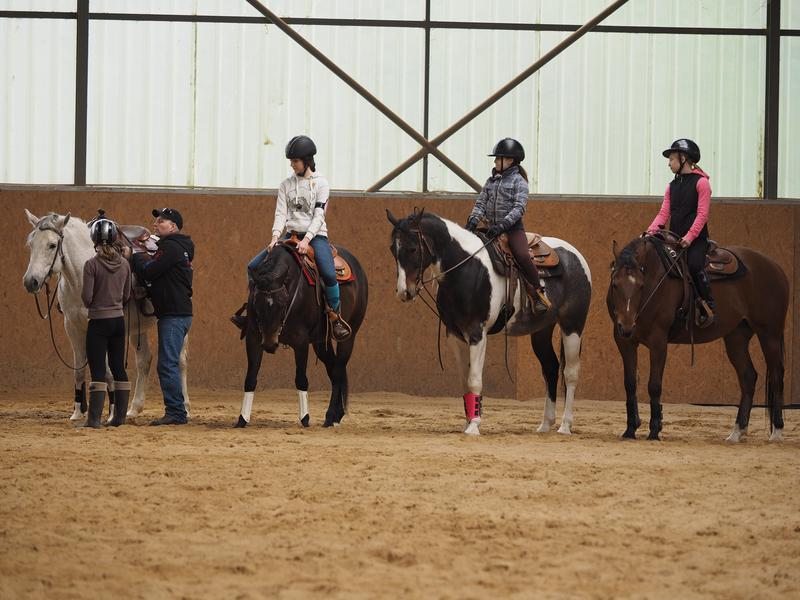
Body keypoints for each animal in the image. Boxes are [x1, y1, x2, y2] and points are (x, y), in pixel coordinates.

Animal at [22, 210, 190, 421]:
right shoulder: (73, 327)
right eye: (31, 244)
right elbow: (79, 370)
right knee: (144, 360)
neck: (81, 278)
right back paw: (134, 408)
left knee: (180, 361)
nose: (31, 281)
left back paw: (185, 407)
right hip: (137, 328)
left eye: (52, 245)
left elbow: (108, 371)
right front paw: (78, 412)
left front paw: (111, 412)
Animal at [234, 241, 368, 428]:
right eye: (256, 302)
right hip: (321, 343)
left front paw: (305, 418)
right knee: (334, 370)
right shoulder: (253, 338)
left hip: (349, 337)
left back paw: (330, 416)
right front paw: (242, 420)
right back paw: (335, 416)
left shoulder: (301, 342)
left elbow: (301, 379)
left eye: (283, 303)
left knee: (338, 370)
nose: (269, 344)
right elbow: (250, 378)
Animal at [387, 209, 592, 436]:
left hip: (572, 325)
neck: (466, 268)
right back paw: (545, 424)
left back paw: (565, 426)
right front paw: (469, 421)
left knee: (570, 373)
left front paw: (474, 426)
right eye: (393, 250)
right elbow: (464, 381)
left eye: (413, 248)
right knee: (550, 368)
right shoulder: (455, 336)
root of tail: (575, 255)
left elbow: (474, 379)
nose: (404, 292)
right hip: (542, 330)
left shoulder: (477, 333)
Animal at [607, 234, 789, 442]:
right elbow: (630, 384)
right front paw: (630, 430)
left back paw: (776, 431)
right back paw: (736, 432)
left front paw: (654, 430)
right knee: (748, 376)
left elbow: (654, 385)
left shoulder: (658, 341)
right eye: (615, 284)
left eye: (640, 285)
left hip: (769, 333)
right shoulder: (625, 342)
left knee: (776, 375)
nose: (627, 326)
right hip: (737, 337)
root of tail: (774, 266)